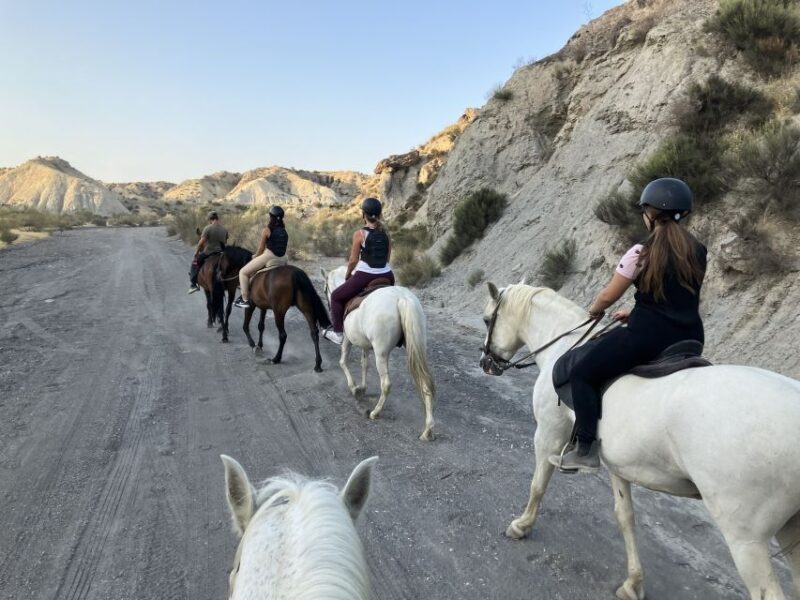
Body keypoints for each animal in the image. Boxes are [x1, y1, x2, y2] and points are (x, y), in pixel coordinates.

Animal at [321, 266, 435, 441]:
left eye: (324, 289)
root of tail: (402, 298)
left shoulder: (347, 339)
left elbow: (343, 361)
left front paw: (354, 388)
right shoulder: (365, 345)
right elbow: (364, 365)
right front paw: (362, 388)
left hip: (381, 353)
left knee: (386, 384)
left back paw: (375, 412)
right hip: (417, 347)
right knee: (425, 382)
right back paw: (428, 429)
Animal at [479, 282, 800, 600]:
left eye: (486, 319)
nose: (486, 363)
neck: (564, 344)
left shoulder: (548, 433)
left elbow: (538, 485)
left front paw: (521, 526)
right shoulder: (617, 465)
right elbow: (625, 517)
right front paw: (633, 583)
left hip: (746, 540)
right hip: (790, 529)